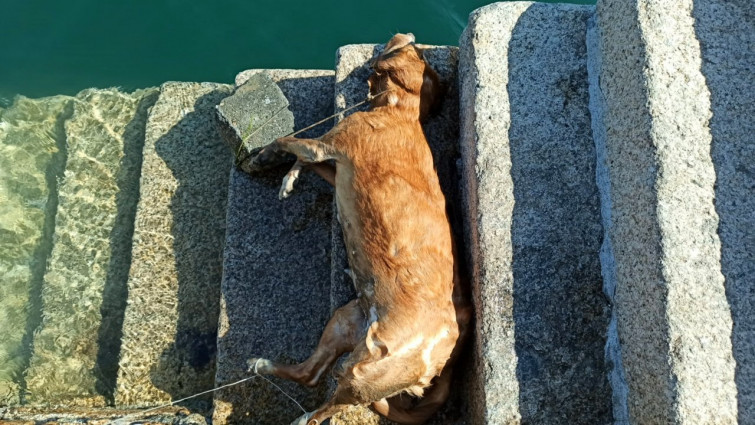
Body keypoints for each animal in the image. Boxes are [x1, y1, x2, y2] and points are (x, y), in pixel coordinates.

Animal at [251, 33, 470, 424]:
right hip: (347, 319)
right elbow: (304, 162)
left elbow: (288, 142)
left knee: (325, 401)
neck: (402, 110)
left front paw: (266, 157)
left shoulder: (327, 143)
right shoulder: (334, 165)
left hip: (361, 370)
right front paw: (289, 178)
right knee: (310, 374)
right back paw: (264, 366)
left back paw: (304, 412)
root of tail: (436, 364)